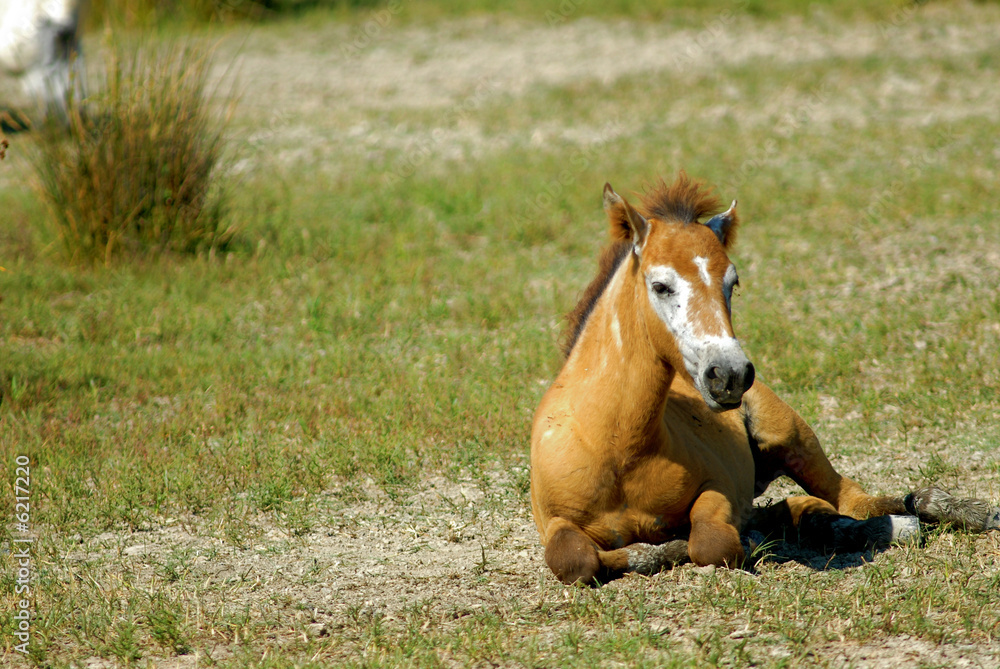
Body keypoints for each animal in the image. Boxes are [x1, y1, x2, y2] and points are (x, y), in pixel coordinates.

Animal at [530, 172, 1000, 585]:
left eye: (732, 283)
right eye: (661, 285)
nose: (730, 374)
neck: (617, 445)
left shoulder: (717, 487)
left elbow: (710, 542)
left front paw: (697, 544)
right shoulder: (553, 520)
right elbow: (576, 560)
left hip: (791, 436)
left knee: (853, 498)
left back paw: (945, 516)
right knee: (804, 507)